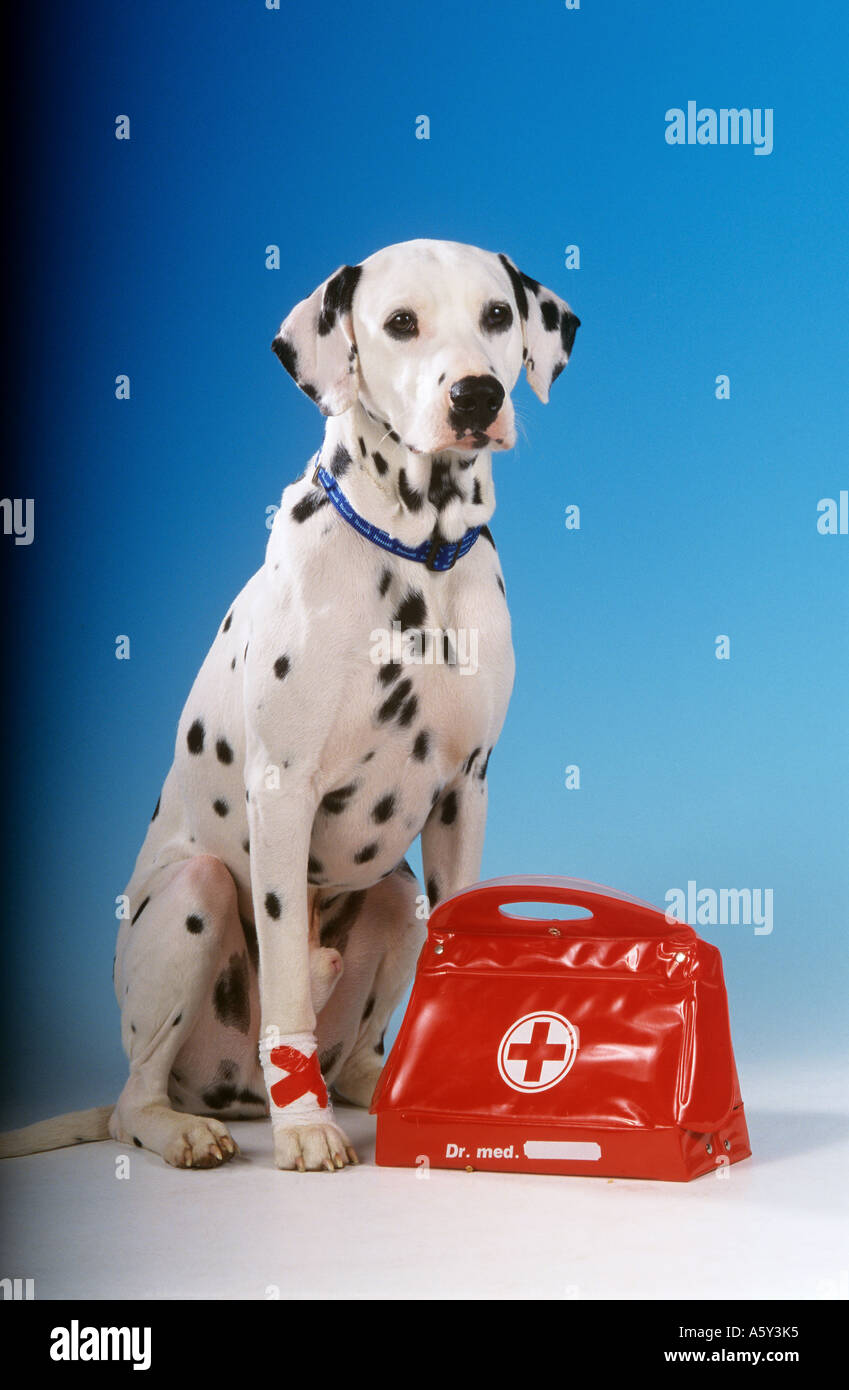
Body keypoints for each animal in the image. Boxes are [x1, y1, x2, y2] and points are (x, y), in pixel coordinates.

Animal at [0, 239, 578, 1173]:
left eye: (496, 314)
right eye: (400, 322)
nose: (476, 395)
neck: (415, 556)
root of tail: (227, 1092)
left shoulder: (464, 794)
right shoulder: (282, 794)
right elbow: (285, 994)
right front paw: (304, 1129)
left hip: (396, 896)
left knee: (354, 1041)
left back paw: (372, 1085)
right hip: (191, 899)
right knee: (133, 1102)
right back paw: (193, 1126)